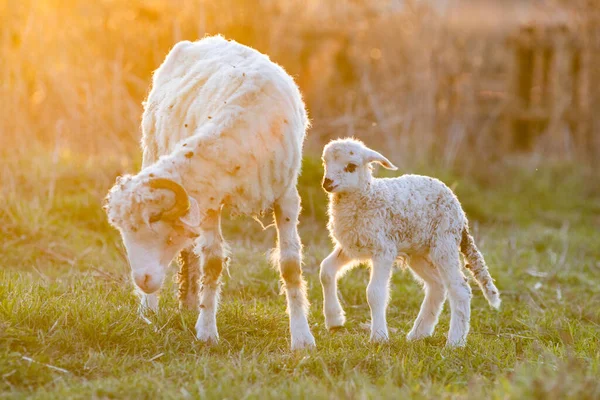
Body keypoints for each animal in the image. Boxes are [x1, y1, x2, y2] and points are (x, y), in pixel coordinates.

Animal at [105, 37, 316, 350]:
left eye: (160, 227)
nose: (143, 280)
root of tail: (203, 40)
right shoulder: (210, 199)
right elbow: (213, 262)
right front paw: (206, 331)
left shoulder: (287, 196)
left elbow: (290, 264)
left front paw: (302, 337)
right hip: (152, 148)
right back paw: (151, 309)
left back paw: (188, 302)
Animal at [322, 138, 500, 346]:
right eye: (325, 162)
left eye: (351, 166)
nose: (327, 183)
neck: (368, 196)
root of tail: (460, 212)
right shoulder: (351, 246)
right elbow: (326, 271)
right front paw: (334, 320)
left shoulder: (383, 250)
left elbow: (375, 293)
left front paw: (379, 337)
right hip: (418, 252)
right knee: (437, 285)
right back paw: (418, 333)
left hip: (444, 241)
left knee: (460, 288)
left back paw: (454, 342)